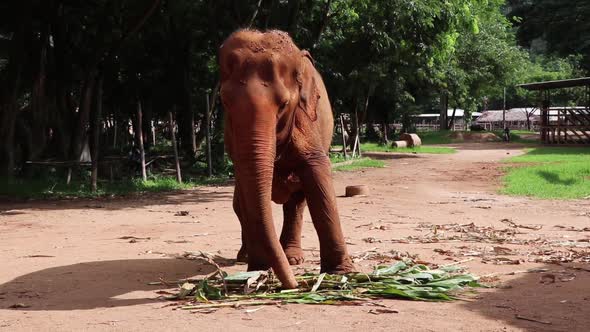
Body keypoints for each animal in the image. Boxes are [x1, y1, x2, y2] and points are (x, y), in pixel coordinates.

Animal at [219, 29, 354, 288]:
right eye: (225, 103)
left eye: (283, 104)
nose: (293, 285)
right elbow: (246, 191)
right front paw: (257, 270)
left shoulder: (305, 118)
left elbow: (317, 171)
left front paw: (341, 273)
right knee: (239, 203)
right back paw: (246, 256)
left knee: (296, 202)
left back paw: (291, 258)